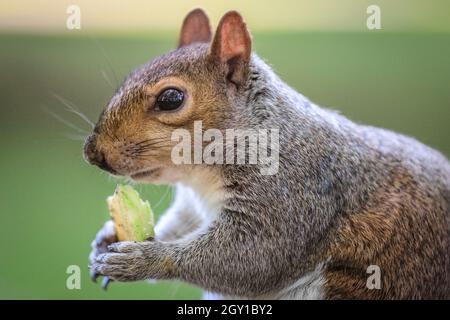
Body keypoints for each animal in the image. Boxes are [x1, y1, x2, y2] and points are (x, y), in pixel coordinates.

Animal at [84, 8, 450, 298]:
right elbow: (182, 223)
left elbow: (254, 257)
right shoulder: (193, 205)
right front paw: (105, 238)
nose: (92, 153)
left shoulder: (294, 193)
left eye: (171, 99)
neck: (202, 177)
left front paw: (144, 260)